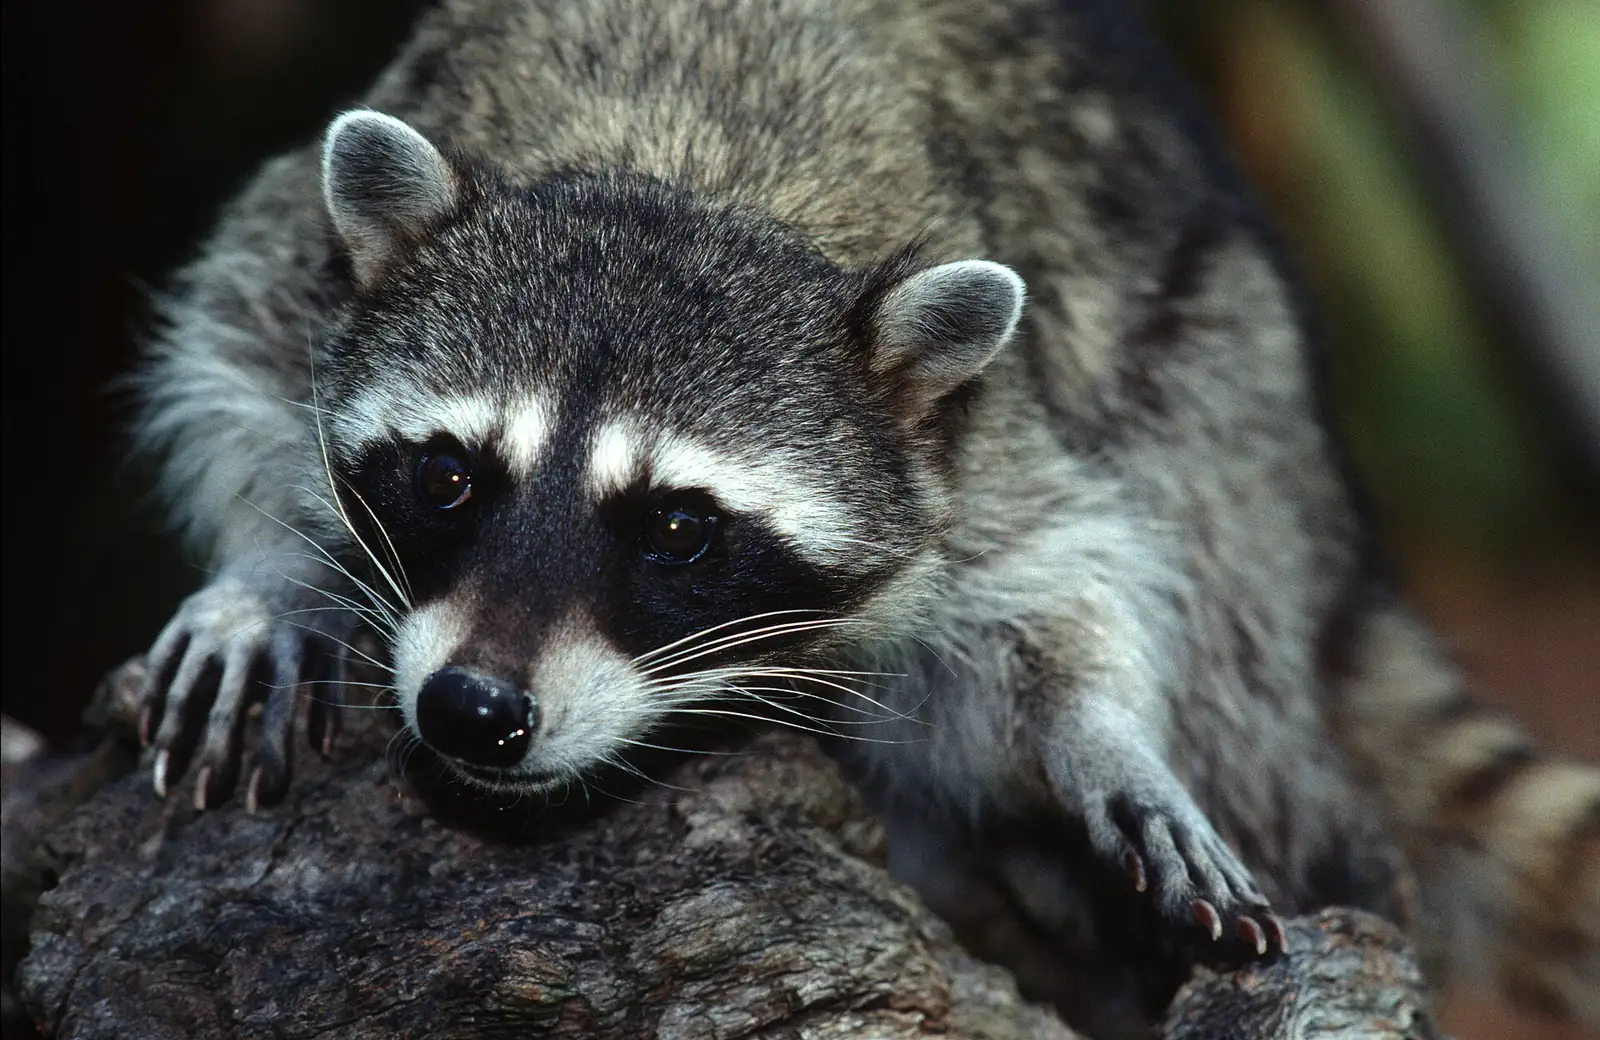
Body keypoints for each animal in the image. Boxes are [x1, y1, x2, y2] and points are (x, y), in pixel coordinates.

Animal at [129, 0, 1600, 1026]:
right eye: (448, 477)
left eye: (677, 529)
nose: (474, 711)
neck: (679, 167)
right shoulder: (318, 249)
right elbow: (235, 351)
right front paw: (266, 574)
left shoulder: (969, 432)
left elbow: (1062, 574)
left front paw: (1102, 733)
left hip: (1226, 396)